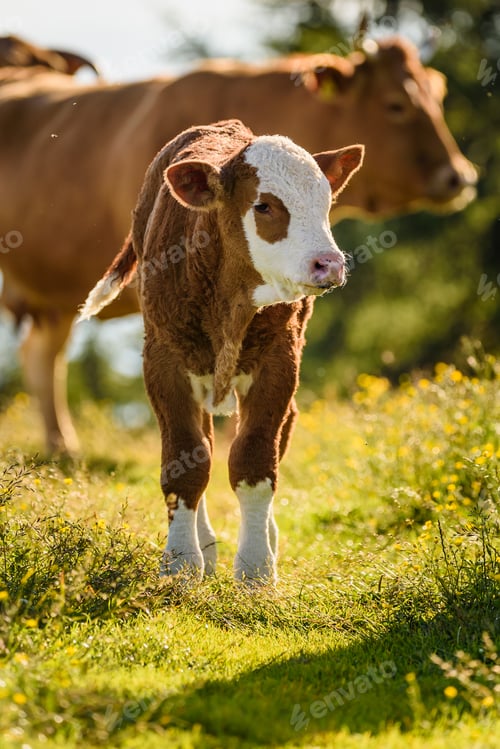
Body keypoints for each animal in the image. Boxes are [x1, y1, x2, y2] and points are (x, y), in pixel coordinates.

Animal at [79, 119, 364, 583]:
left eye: (326, 203)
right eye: (264, 205)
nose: (330, 264)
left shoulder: (279, 362)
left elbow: (254, 459)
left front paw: (256, 568)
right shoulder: (163, 362)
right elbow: (185, 460)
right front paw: (181, 563)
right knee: (204, 444)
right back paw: (206, 546)